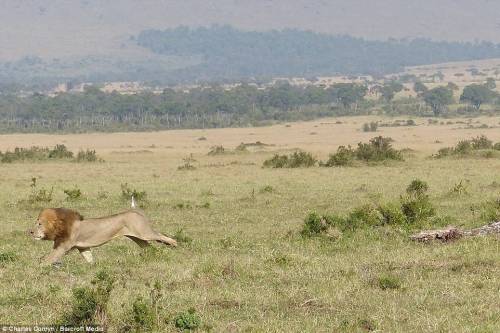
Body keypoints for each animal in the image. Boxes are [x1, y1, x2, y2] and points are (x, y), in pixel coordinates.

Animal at [29, 205, 178, 264]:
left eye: (40, 224)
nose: (30, 231)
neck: (59, 226)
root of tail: (136, 211)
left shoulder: (62, 248)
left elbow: (47, 259)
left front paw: (38, 267)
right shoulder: (83, 247)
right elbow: (89, 259)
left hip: (144, 233)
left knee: (159, 235)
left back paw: (174, 243)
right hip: (137, 238)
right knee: (149, 247)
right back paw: (152, 256)